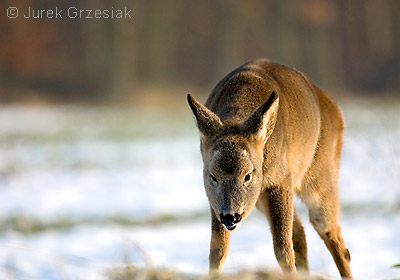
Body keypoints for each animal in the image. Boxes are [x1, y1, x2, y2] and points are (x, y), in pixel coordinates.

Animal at [188, 58, 354, 278]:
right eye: (213, 176)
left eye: (248, 175)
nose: (230, 216)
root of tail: (334, 108)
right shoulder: (216, 199)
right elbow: (217, 250)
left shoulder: (280, 180)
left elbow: (283, 250)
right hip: (259, 199)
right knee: (300, 233)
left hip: (320, 175)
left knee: (335, 239)